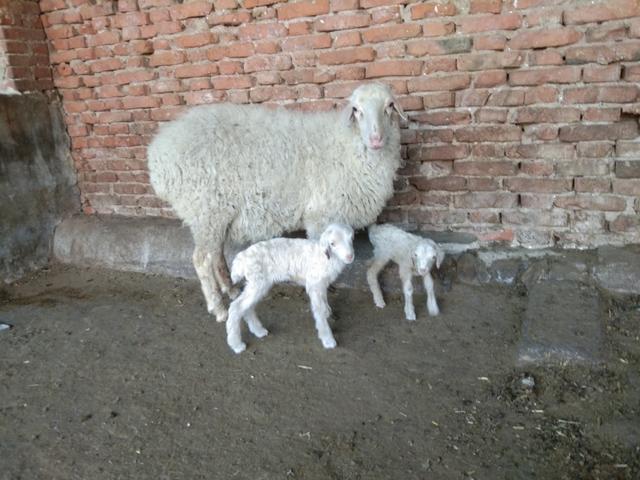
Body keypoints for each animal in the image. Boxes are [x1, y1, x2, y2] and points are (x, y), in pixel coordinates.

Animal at [149, 82, 404, 322]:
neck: (348, 145)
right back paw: (218, 308)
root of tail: (158, 153)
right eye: (356, 110)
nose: (376, 139)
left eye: (390, 106)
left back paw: (230, 290)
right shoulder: (320, 216)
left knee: (215, 254)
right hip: (205, 210)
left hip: (215, 214)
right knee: (201, 259)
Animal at [224, 224, 356, 352]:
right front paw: (328, 339)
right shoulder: (314, 284)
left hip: (256, 283)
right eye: (332, 243)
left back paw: (258, 331)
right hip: (258, 281)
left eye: (351, 239)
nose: (350, 256)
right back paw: (236, 345)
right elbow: (319, 311)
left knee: (246, 307)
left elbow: (324, 303)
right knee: (236, 307)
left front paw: (327, 311)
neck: (326, 257)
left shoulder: (322, 284)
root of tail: (241, 259)